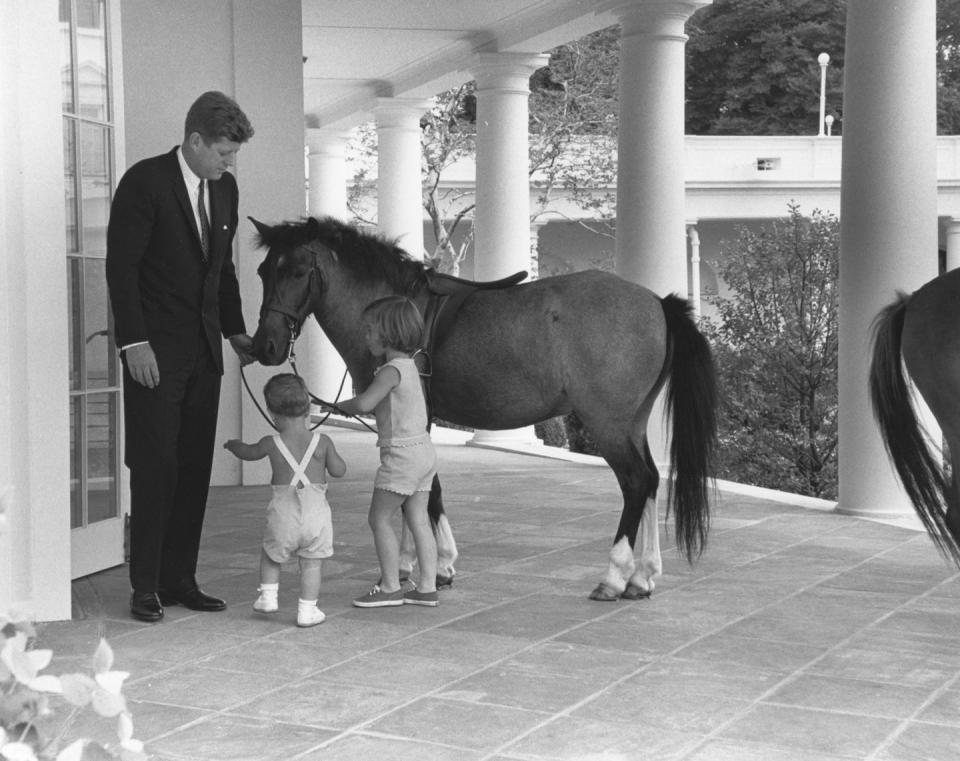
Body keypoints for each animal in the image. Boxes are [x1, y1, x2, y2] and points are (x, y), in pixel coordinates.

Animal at [249, 215, 720, 600]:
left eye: (296, 270)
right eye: (262, 271)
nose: (265, 345)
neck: (395, 308)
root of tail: (657, 303)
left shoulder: (406, 418)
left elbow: (423, 490)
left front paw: (436, 566)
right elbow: (412, 488)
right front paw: (410, 563)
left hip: (607, 424)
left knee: (636, 482)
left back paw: (615, 577)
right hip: (632, 422)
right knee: (653, 480)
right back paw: (643, 576)